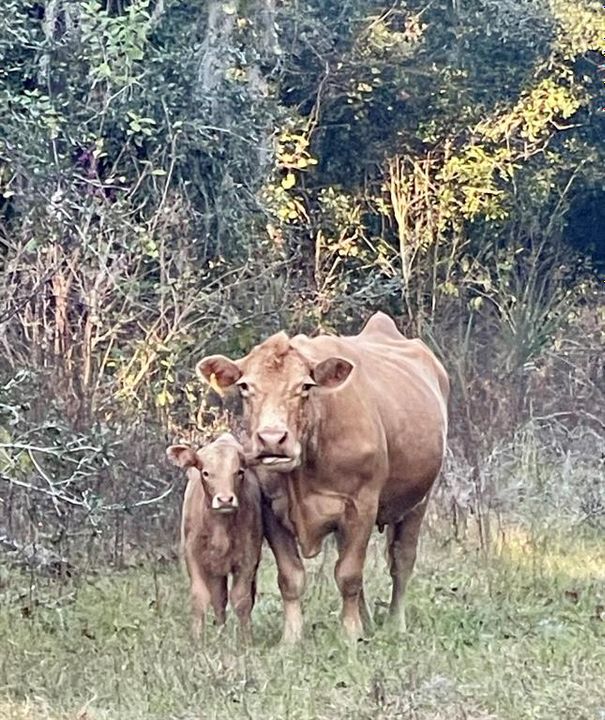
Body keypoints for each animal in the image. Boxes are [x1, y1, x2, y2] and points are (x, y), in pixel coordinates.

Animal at [165, 434, 262, 640]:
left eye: (239, 472)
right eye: (206, 473)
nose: (225, 500)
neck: (220, 528)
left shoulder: (249, 558)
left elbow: (242, 599)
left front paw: (246, 640)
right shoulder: (192, 555)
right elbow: (200, 597)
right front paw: (197, 639)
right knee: (218, 599)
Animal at [196, 312, 446, 640]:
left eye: (305, 386)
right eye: (245, 387)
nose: (272, 439)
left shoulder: (361, 505)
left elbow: (349, 574)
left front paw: (350, 635)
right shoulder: (271, 510)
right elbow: (291, 577)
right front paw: (291, 637)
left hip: (419, 500)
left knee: (402, 560)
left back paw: (395, 624)